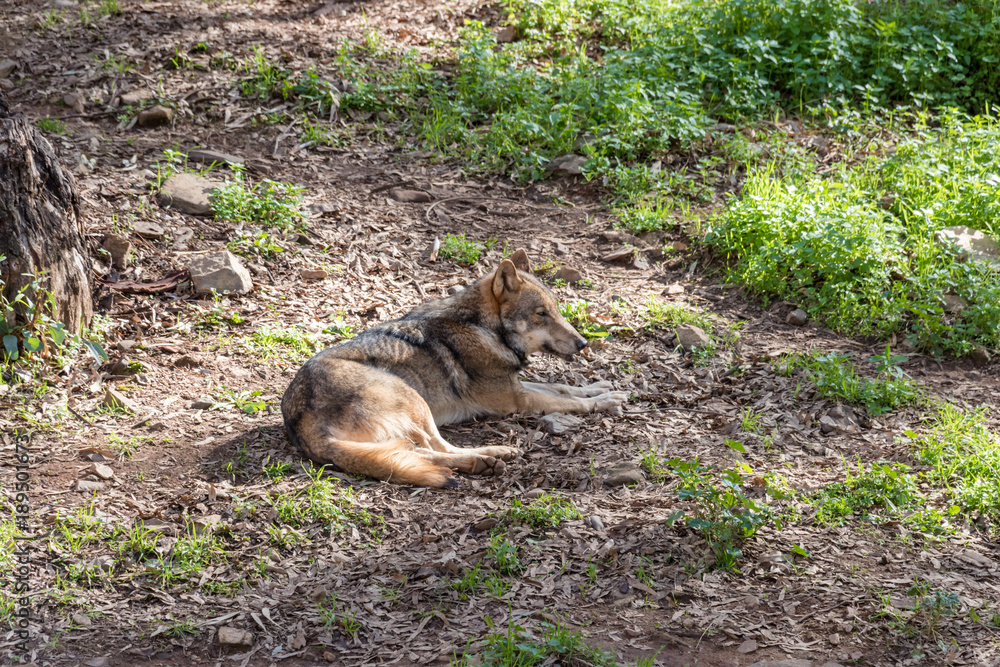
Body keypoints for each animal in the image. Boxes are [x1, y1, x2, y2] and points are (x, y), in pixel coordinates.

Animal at [280, 249, 629, 488]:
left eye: (556, 310)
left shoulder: (516, 385)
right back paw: (488, 455)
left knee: (417, 452)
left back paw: (486, 460)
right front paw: (605, 400)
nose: (583, 343)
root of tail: (298, 417)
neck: (482, 328)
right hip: (413, 399)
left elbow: (563, 386)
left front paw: (603, 387)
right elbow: (569, 401)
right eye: (541, 314)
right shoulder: (517, 400)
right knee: (436, 447)